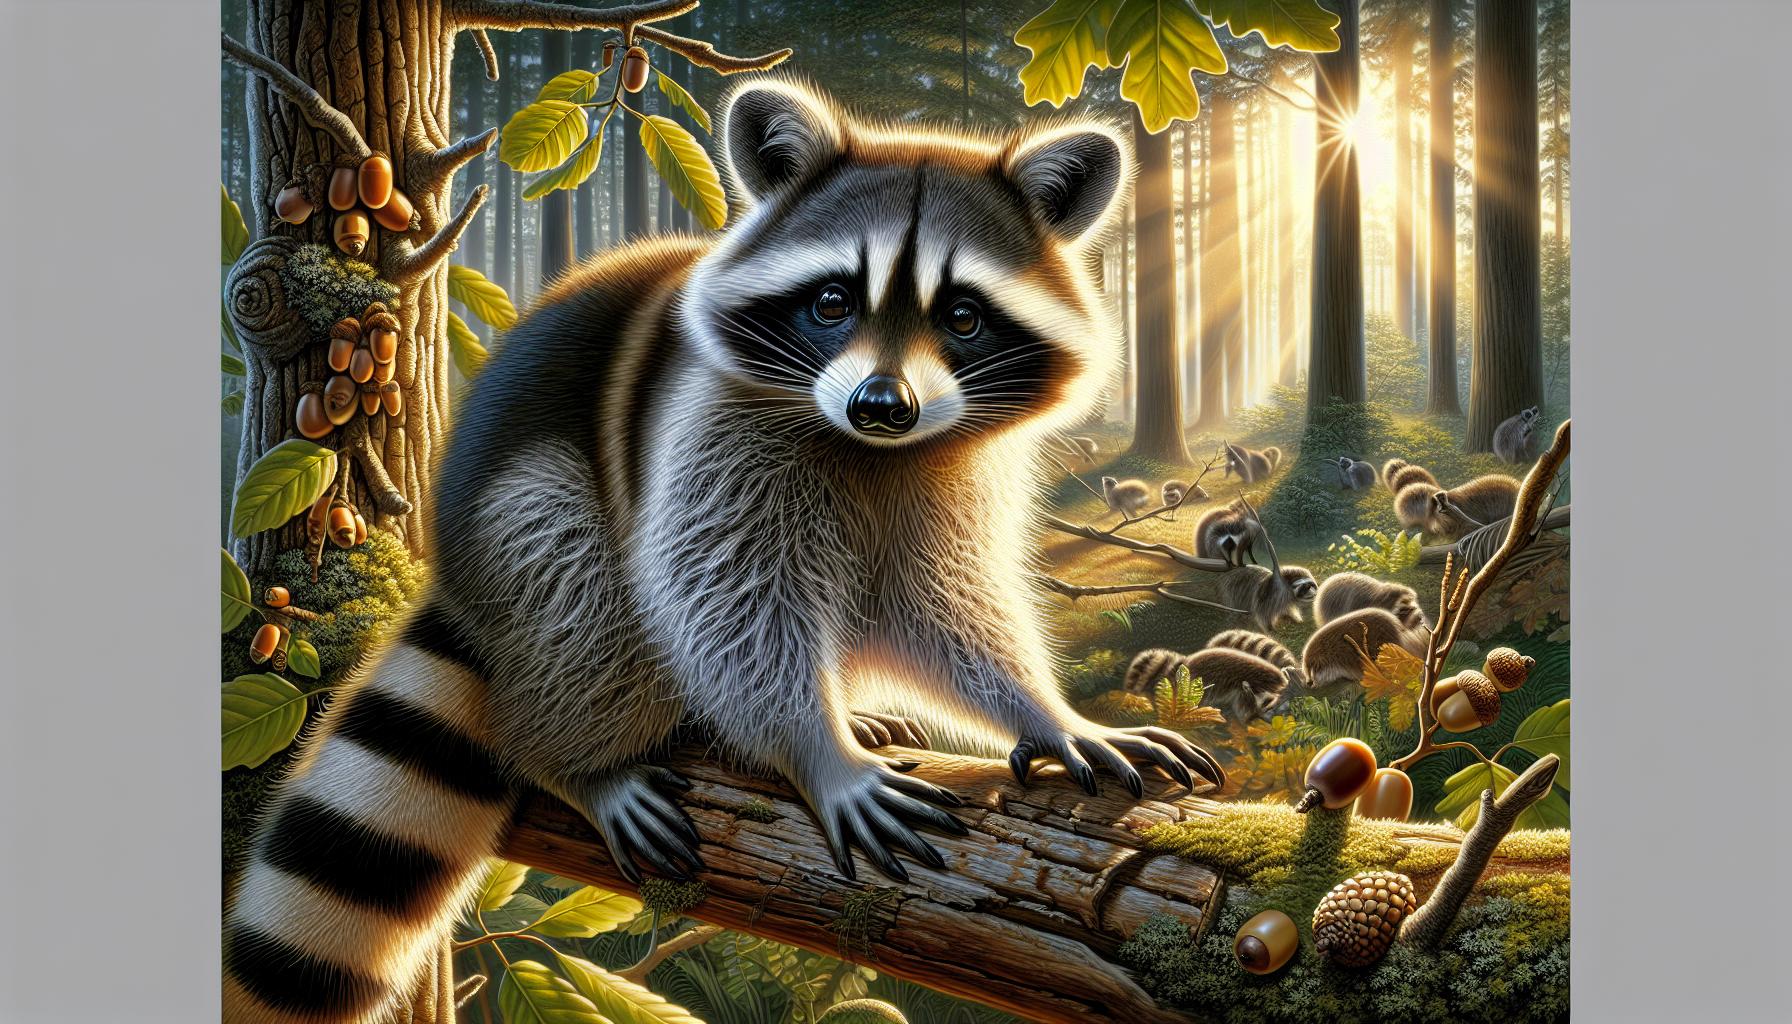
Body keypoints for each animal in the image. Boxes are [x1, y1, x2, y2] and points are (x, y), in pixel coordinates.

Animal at [223, 80, 1225, 1024]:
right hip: (517, 526)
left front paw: (1044, 713)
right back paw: (579, 757)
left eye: (965, 318)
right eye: (832, 302)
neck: (872, 452)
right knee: (574, 573)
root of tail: (461, 584)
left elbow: (943, 604)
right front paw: (816, 751)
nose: (882, 405)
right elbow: (721, 599)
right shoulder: (708, 424)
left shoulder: (953, 466)